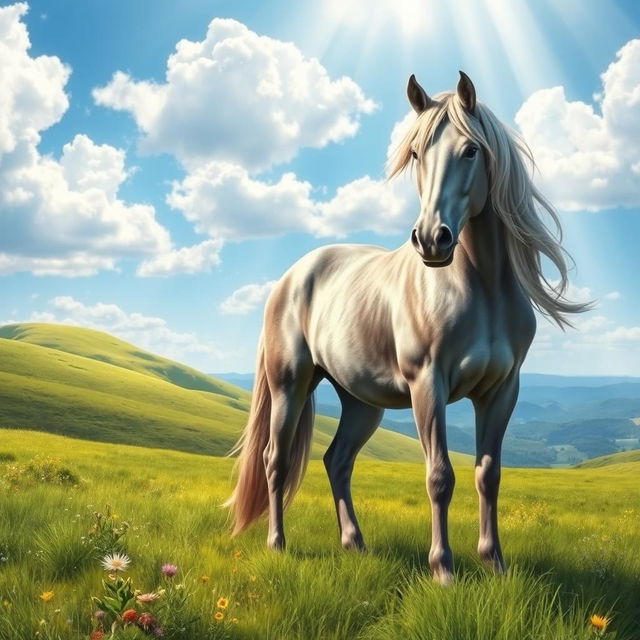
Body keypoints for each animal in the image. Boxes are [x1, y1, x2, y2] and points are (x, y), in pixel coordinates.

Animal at [225, 71, 589, 584]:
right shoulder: (427, 385)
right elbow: (440, 476)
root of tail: (293, 276)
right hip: (289, 386)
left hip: (361, 403)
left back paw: (355, 544)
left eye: (471, 150)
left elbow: (488, 474)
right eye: (416, 153)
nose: (431, 239)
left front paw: (494, 563)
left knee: (337, 460)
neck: (481, 287)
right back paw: (277, 544)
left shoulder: (502, 391)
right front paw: (443, 571)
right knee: (275, 460)